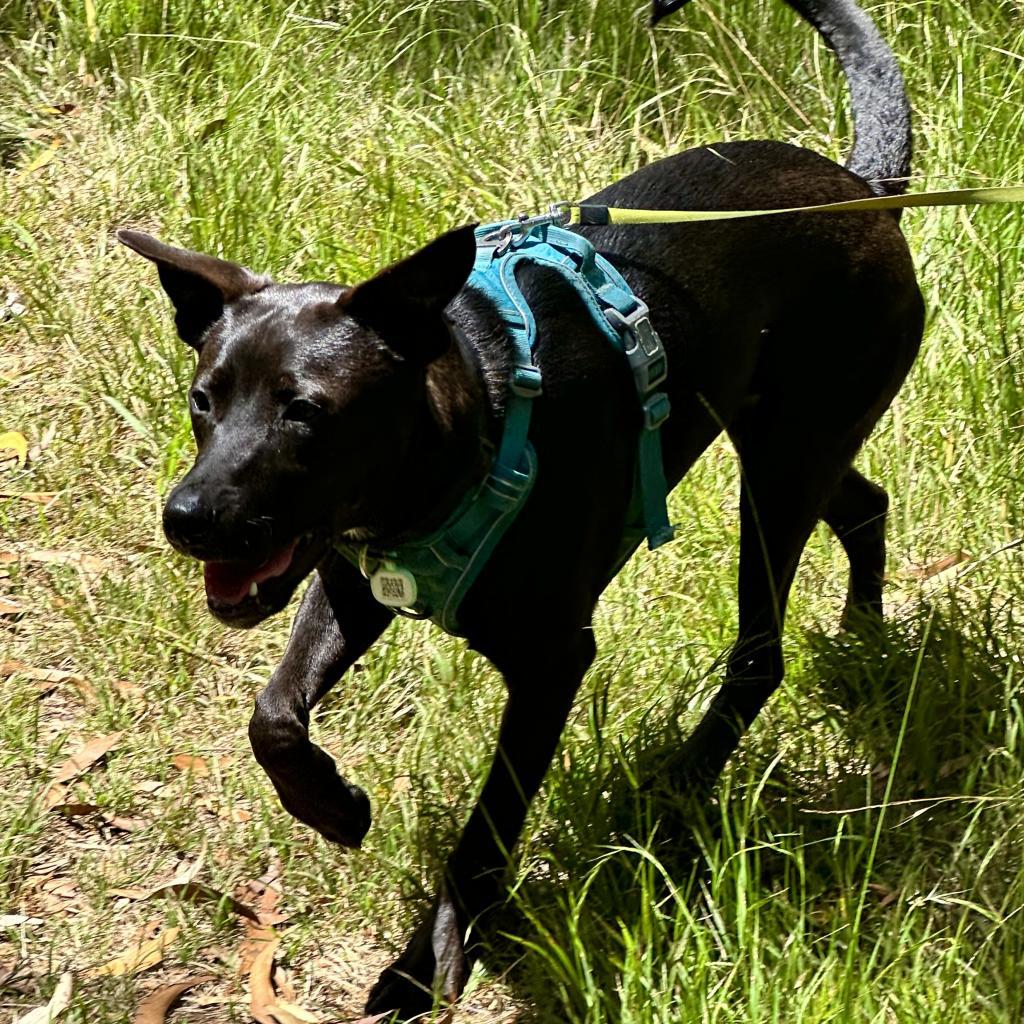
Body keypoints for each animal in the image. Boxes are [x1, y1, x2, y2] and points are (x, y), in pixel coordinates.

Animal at [117, 0, 921, 1011]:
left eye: (307, 411)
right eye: (203, 399)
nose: (185, 517)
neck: (474, 418)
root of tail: (862, 186)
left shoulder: (551, 663)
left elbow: (488, 823)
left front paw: (425, 967)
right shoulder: (355, 572)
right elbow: (274, 714)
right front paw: (334, 808)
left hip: (782, 467)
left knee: (760, 652)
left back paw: (676, 787)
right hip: (784, 438)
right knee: (863, 504)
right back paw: (862, 634)